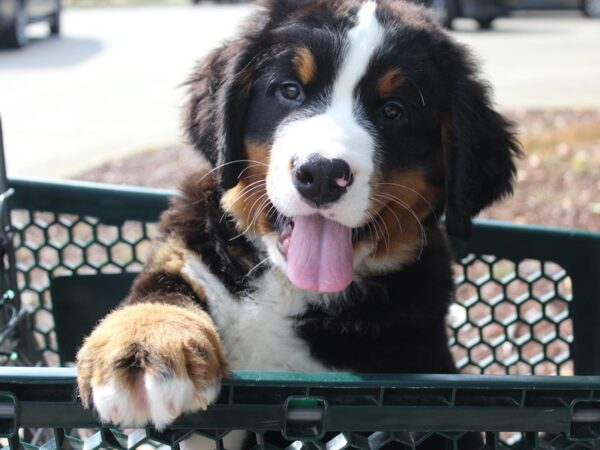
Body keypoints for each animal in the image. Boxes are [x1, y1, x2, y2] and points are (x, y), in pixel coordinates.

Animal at [77, 0, 520, 446]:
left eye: (394, 111)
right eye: (289, 91)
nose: (322, 173)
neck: (288, 286)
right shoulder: (187, 252)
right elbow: (160, 291)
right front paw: (145, 350)